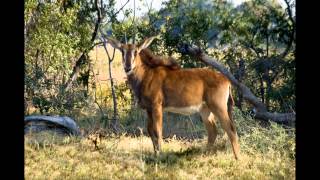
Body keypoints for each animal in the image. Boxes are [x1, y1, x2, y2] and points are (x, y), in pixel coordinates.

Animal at [107, 36, 240, 159]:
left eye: (136, 51)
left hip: (218, 106)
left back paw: (237, 158)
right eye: (122, 51)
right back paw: (204, 155)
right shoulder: (148, 109)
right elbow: (150, 131)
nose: (128, 67)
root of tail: (226, 80)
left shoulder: (157, 106)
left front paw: (160, 155)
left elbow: (157, 131)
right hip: (205, 109)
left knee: (230, 129)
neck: (145, 74)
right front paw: (155, 154)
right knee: (213, 131)